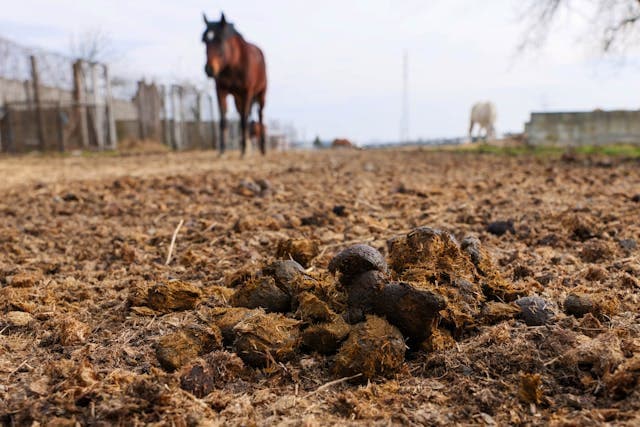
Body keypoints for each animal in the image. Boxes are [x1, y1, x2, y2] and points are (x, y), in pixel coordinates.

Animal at [202, 12, 267, 156]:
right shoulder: (220, 90)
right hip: (238, 98)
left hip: (261, 93)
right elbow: (223, 119)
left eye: (220, 40)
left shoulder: (247, 91)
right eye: (205, 42)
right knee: (243, 114)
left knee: (259, 115)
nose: (209, 69)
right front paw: (222, 150)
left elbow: (244, 120)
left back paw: (261, 148)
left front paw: (244, 150)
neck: (232, 65)